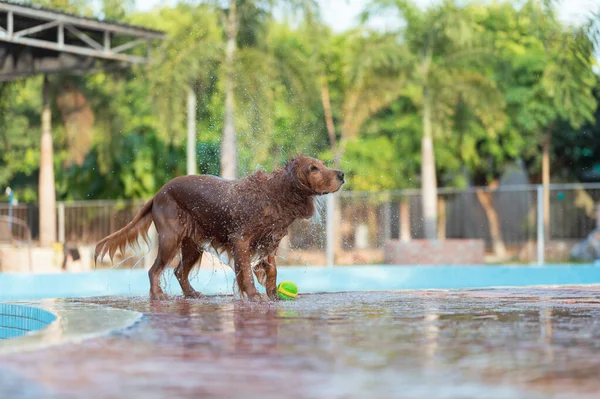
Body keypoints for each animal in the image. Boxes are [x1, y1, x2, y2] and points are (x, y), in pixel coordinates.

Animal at [96, 155, 344, 302]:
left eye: (323, 164)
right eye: (313, 168)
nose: (341, 174)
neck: (274, 195)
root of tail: (158, 193)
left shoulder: (269, 242)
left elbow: (272, 270)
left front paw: (273, 294)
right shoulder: (240, 239)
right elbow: (246, 273)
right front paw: (254, 295)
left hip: (192, 245)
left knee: (178, 271)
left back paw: (192, 293)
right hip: (170, 239)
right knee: (154, 270)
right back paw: (158, 295)